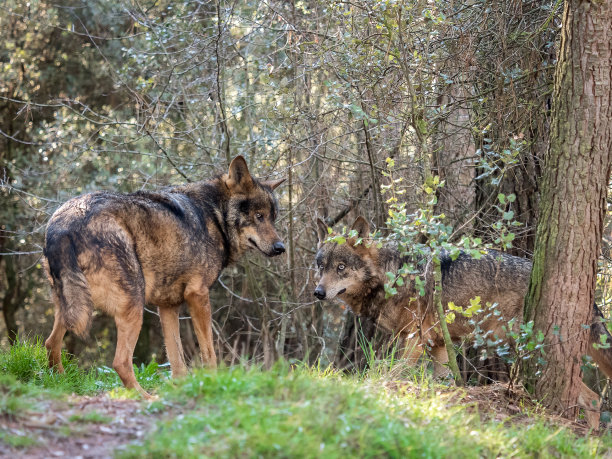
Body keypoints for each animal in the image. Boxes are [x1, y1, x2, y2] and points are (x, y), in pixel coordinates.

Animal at [44, 156, 286, 398]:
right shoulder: (198, 296)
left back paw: (62, 384)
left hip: (71, 308)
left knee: (51, 343)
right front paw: (213, 384)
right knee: (120, 362)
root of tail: (64, 224)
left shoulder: (168, 306)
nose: (280, 248)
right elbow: (209, 353)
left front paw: (181, 389)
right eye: (259, 216)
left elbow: (177, 360)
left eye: (273, 218)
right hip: (133, 307)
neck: (215, 215)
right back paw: (146, 398)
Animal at [316, 217, 612, 426]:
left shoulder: (414, 341)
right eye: (321, 266)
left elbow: (391, 374)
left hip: (526, 350)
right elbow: (444, 381)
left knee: (592, 398)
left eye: (341, 268)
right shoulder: (438, 345)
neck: (393, 275)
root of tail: (590, 297)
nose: (318, 292)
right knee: (594, 399)